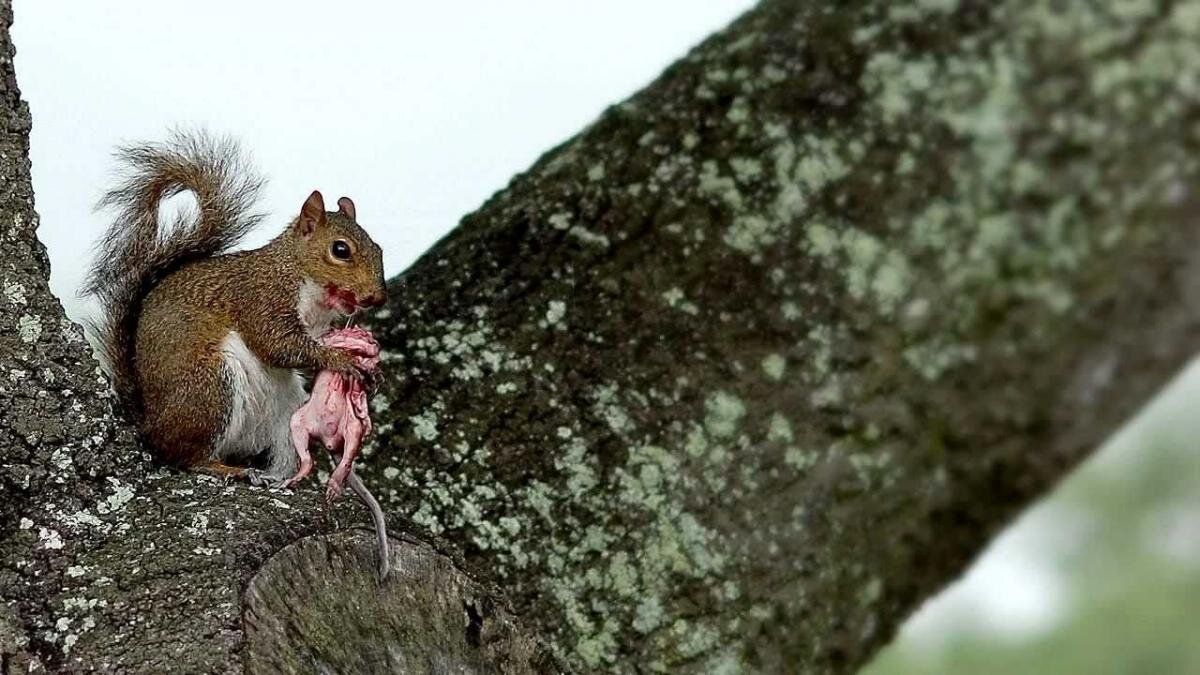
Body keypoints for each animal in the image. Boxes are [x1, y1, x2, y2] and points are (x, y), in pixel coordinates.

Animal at [84, 128, 384, 480]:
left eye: (378, 249)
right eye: (340, 250)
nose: (377, 296)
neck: (296, 272)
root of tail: (149, 421)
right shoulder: (261, 298)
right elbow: (277, 344)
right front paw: (341, 359)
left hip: (285, 411)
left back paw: (277, 477)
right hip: (210, 387)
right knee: (182, 455)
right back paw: (222, 467)